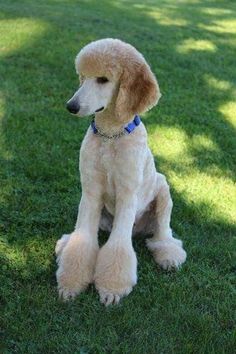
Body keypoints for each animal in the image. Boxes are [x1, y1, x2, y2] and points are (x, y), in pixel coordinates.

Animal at [54, 38, 186, 304]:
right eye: (82, 77)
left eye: (103, 79)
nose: (71, 106)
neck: (110, 137)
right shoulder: (90, 190)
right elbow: (82, 237)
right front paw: (71, 283)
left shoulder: (128, 193)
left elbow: (118, 247)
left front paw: (112, 289)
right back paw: (65, 244)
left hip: (163, 189)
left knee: (164, 232)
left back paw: (169, 254)